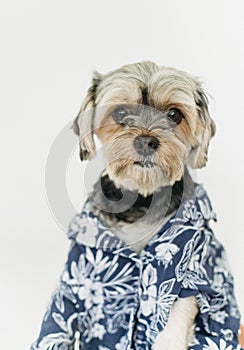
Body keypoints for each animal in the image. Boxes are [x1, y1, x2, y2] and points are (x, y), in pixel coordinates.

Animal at [31, 62, 242, 350]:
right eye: (120, 112)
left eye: (174, 115)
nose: (146, 141)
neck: (142, 201)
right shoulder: (77, 277)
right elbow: (58, 320)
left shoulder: (188, 279)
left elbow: (172, 322)